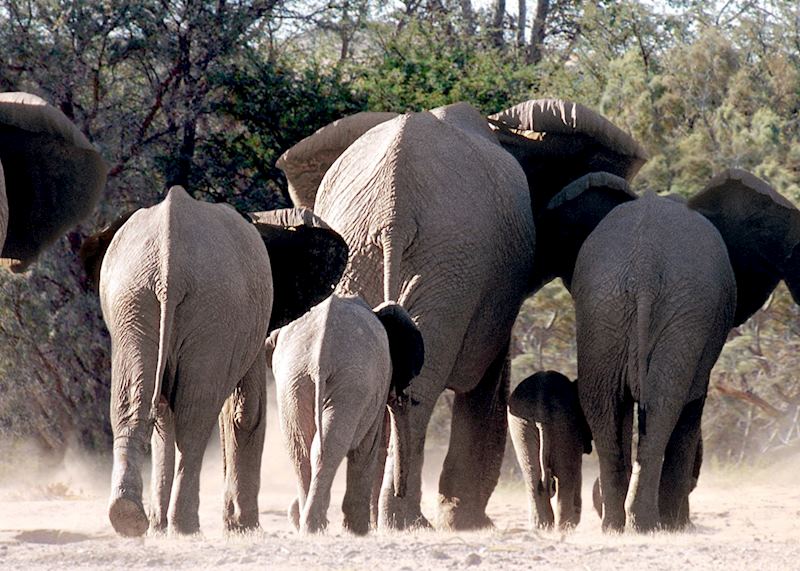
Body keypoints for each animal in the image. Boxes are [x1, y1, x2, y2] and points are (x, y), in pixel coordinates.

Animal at [79, 189, 348, 536]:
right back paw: (184, 526)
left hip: (136, 301)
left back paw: (130, 517)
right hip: (205, 308)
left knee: (135, 406)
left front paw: (161, 527)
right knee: (194, 418)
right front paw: (243, 527)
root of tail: (169, 260)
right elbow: (245, 411)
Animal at [268, 294, 424, 535]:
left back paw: (310, 525)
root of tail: (319, 356)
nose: (400, 493)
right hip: (352, 382)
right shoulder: (376, 386)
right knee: (328, 445)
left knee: (301, 450)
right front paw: (358, 532)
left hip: (292, 381)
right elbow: (367, 447)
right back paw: (317, 525)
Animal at [507, 371, 592, 530]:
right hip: (564, 426)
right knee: (566, 476)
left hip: (521, 426)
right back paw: (565, 527)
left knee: (532, 473)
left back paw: (542, 527)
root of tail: (541, 409)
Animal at [533, 168, 800, 531]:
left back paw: (618, 526)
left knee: (606, 404)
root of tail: (644, 266)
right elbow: (691, 406)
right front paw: (678, 525)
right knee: (664, 405)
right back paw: (647, 524)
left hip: (606, 309)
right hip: (663, 308)